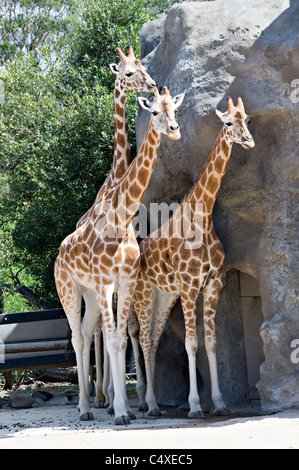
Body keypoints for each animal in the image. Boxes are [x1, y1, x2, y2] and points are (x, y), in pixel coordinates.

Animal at [54, 86, 185, 424]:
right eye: (155, 112)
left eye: (175, 110)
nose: (175, 131)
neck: (121, 218)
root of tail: (59, 254)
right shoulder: (105, 282)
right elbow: (114, 341)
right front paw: (121, 412)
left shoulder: (124, 280)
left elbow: (123, 340)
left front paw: (128, 407)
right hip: (68, 289)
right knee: (77, 338)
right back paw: (85, 407)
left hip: (87, 293)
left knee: (87, 332)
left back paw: (90, 406)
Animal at [133, 95, 255, 418]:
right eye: (229, 122)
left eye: (248, 119)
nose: (249, 141)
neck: (202, 217)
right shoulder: (189, 287)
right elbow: (191, 344)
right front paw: (195, 406)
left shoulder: (212, 284)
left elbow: (211, 344)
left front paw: (220, 403)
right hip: (143, 296)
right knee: (144, 340)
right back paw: (149, 405)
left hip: (164, 296)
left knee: (153, 341)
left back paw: (152, 403)